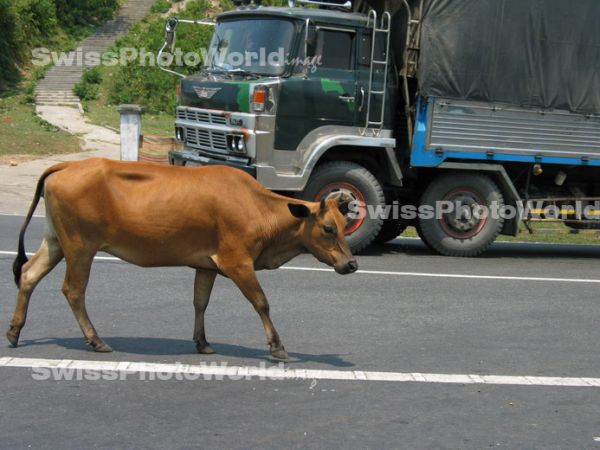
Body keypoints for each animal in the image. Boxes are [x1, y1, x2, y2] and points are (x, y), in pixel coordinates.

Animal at [5, 159, 356, 362]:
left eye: (344, 225)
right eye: (328, 228)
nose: (351, 265)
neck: (258, 207)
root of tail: (65, 166)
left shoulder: (206, 265)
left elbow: (200, 302)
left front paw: (202, 342)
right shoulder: (237, 262)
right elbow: (262, 303)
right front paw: (277, 347)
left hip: (56, 241)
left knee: (29, 274)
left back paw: (14, 333)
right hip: (80, 247)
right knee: (74, 290)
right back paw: (96, 340)